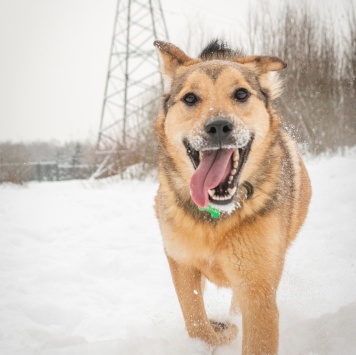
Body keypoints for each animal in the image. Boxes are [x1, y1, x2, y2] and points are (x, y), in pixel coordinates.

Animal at [153, 40, 312, 354]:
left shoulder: (258, 288)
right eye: (190, 98)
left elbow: (256, 334)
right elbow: (196, 321)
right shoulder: (181, 261)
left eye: (241, 94)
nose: (218, 126)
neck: (217, 216)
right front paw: (219, 332)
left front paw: (228, 329)